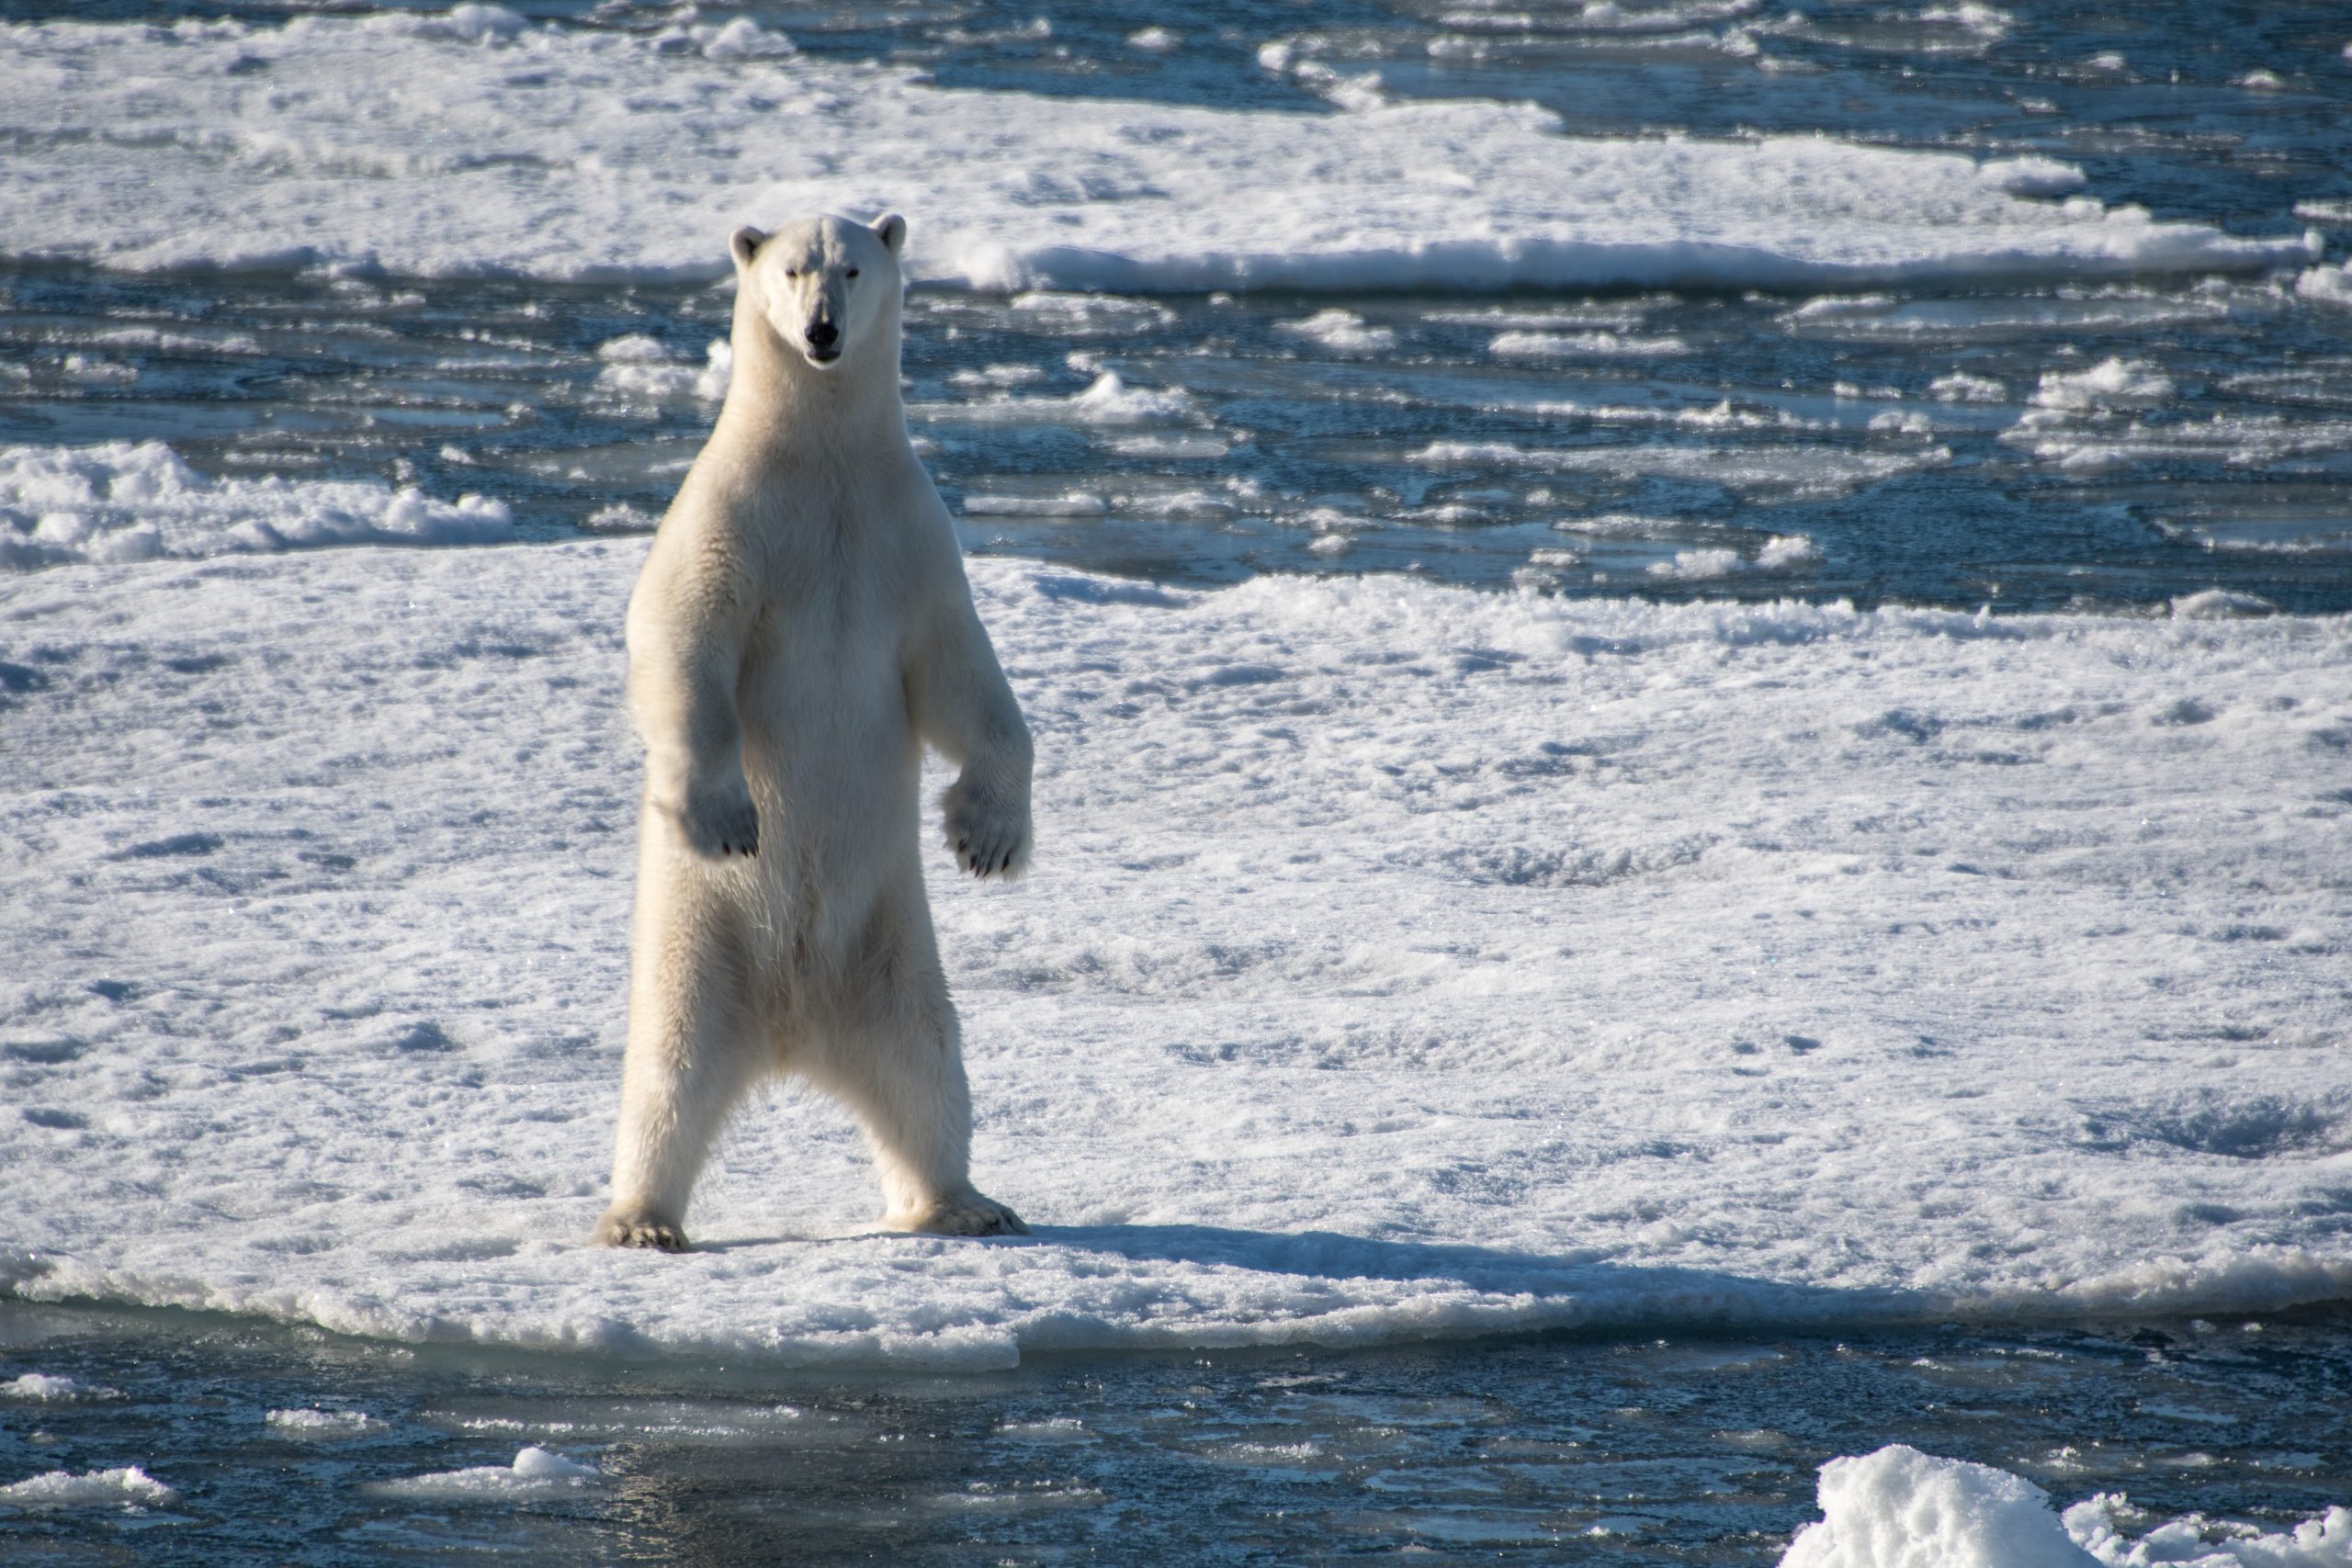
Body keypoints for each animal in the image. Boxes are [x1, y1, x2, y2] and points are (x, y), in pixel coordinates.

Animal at [593, 212, 1033, 1251]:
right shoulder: (733, 520)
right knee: (667, 1073)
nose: (822, 332)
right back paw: (641, 1220)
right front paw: (723, 817)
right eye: (792, 270)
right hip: (698, 941)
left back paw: (965, 1202)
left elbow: (961, 677)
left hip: (888, 948)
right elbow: (679, 637)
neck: (823, 463)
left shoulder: (907, 540)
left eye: (852, 268)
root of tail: (790, 1030)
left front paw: (987, 838)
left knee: (925, 1063)